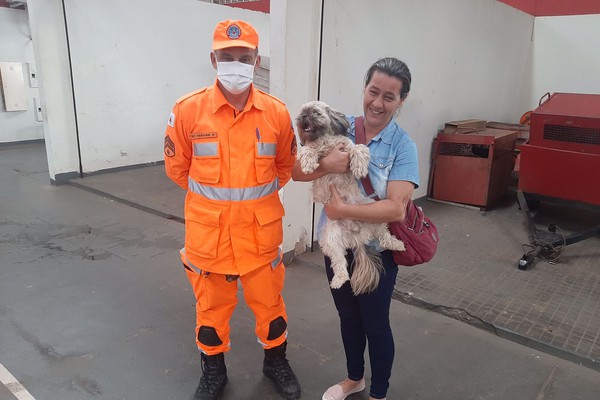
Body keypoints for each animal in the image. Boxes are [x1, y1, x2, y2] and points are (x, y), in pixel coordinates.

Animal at [296, 100, 408, 294]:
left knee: (384, 237)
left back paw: (397, 244)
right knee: (340, 263)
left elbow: (359, 148)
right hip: (332, 241)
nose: (303, 117)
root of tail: (357, 237)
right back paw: (338, 280)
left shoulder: (348, 145)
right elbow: (308, 151)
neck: (324, 141)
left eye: (316, 113)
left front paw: (359, 167)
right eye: (303, 112)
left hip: (374, 214)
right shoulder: (312, 148)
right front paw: (309, 164)